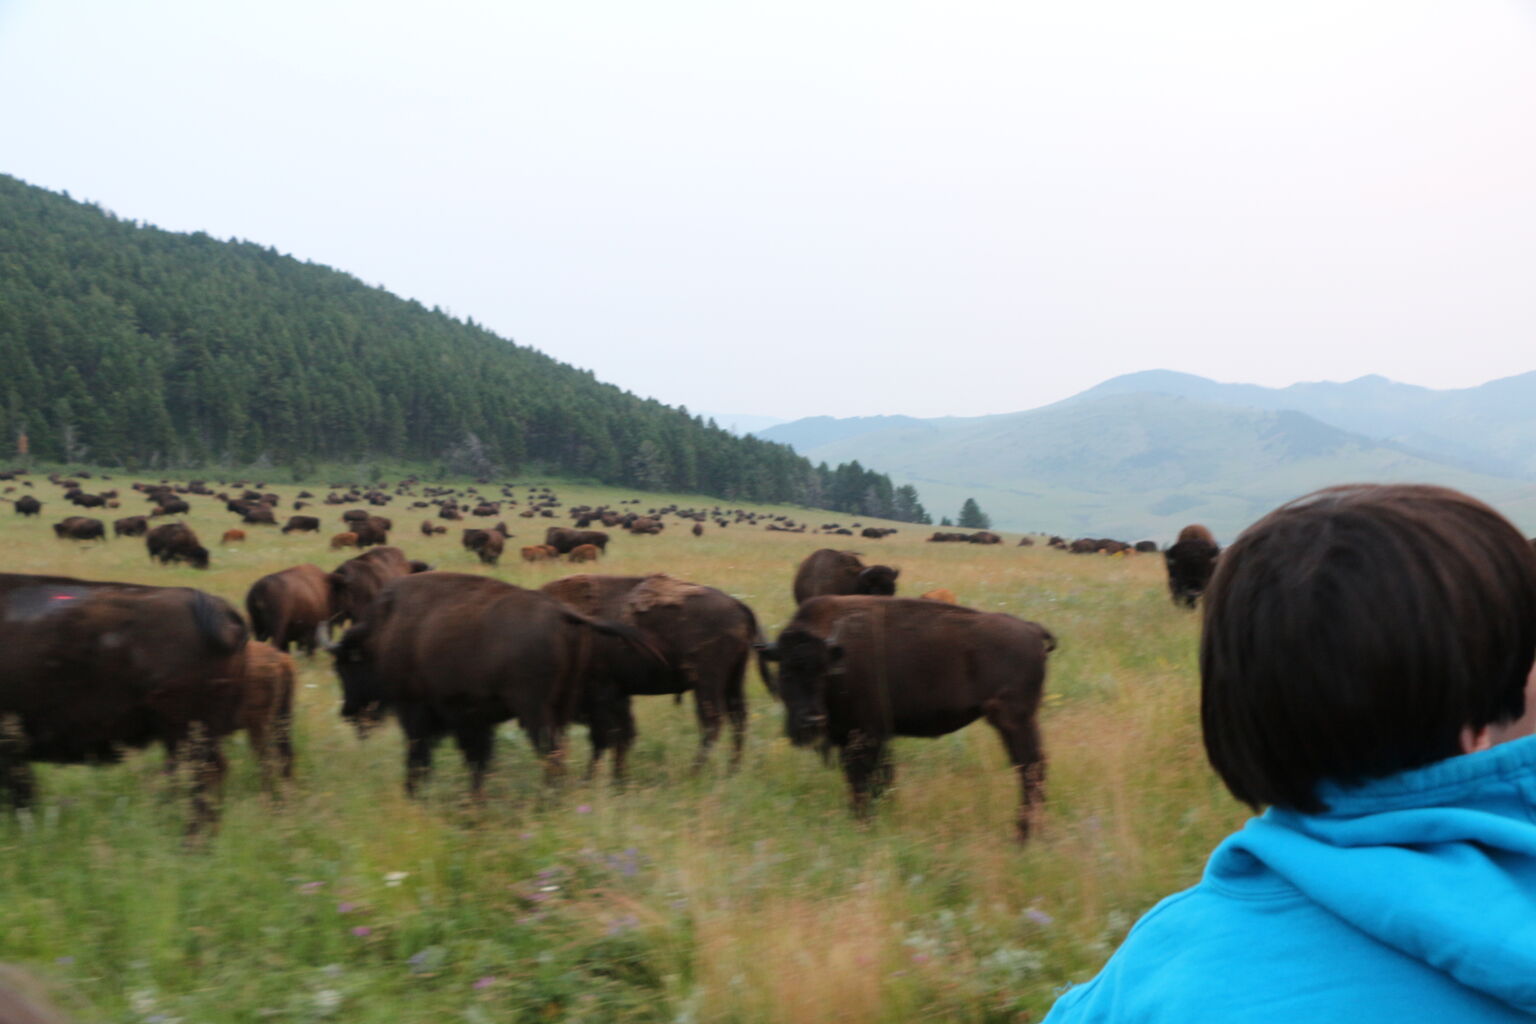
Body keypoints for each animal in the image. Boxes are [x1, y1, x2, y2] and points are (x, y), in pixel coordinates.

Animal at [327, 574, 663, 798]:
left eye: (346, 666)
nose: (347, 711)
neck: (383, 631)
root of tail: (565, 613)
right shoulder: (473, 721)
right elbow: (477, 762)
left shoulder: (417, 712)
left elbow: (420, 758)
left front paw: (414, 794)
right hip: (562, 708)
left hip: (535, 712)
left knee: (553, 755)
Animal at [543, 577, 780, 767]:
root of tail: (739, 604)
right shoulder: (618, 695)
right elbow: (622, 736)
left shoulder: (602, 693)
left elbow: (607, 738)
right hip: (734, 678)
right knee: (738, 718)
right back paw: (732, 769)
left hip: (707, 682)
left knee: (712, 722)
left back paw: (695, 772)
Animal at [758, 595, 1050, 847]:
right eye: (785, 672)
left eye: (822, 672)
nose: (811, 719)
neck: (837, 655)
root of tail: (1032, 630)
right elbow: (877, 779)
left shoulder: (865, 735)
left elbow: (863, 779)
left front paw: (863, 823)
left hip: (1013, 721)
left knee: (1029, 768)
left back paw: (1022, 838)